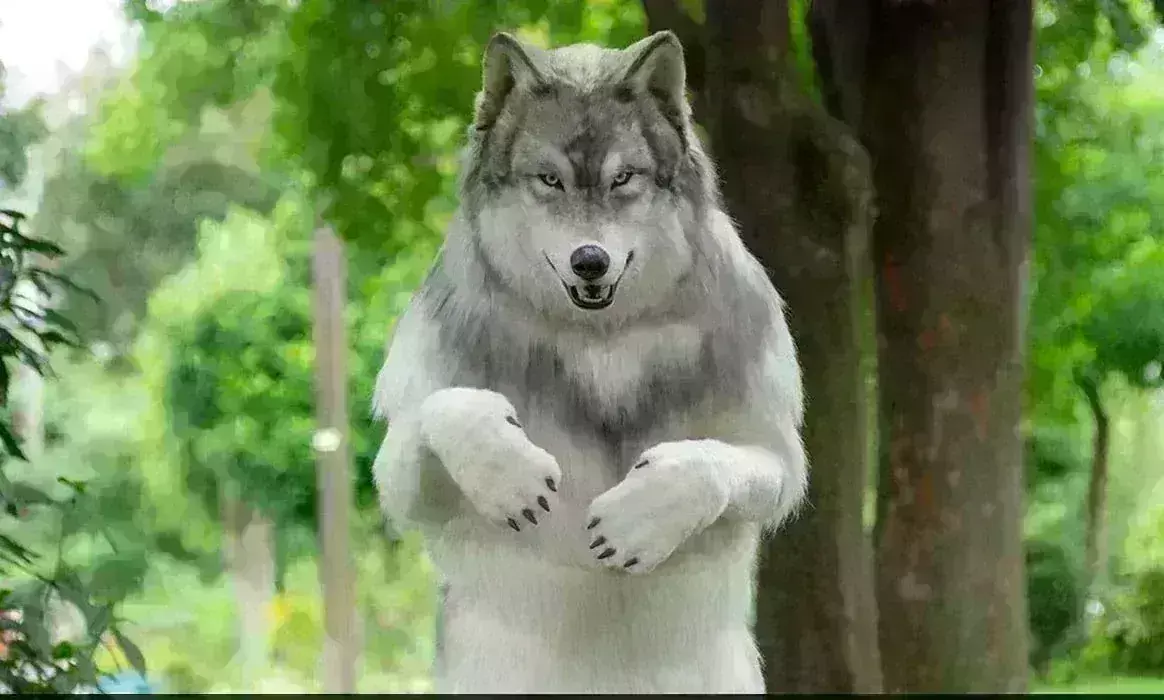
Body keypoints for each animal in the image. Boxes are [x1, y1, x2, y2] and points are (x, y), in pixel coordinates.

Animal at [371, 30, 807, 694]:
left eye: (623, 177)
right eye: (549, 180)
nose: (590, 261)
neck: (600, 342)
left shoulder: (774, 453)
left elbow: (710, 464)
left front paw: (645, 514)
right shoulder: (402, 473)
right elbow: (447, 408)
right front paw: (507, 471)